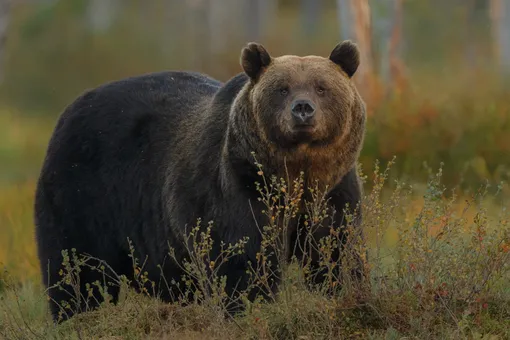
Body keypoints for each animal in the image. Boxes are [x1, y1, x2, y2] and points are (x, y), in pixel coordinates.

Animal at [34, 39, 366, 322]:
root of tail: (70, 109)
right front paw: (248, 307)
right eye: (282, 89)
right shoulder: (237, 184)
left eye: (322, 87)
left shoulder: (334, 188)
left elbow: (337, 248)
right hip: (81, 193)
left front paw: (344, 291)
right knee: (75, 269)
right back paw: (78, 316)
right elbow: (241, 257)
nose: (303, 109)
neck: (294, 173)